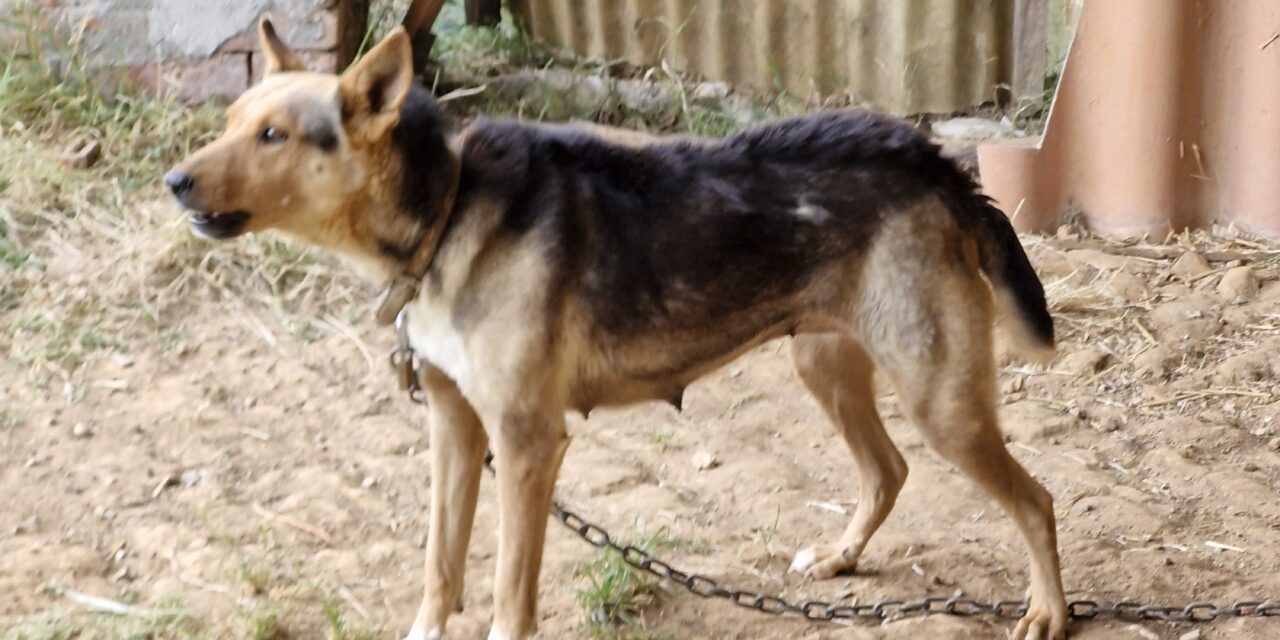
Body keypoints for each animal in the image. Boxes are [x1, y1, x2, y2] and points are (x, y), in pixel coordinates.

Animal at [167, 18, 1070, 640]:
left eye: (274, 136)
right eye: (232, 119)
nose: (174, 181)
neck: (448, 210)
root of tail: (935, 161)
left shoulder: (527, 443)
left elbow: (507, 594)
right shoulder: (454, 428)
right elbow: (439, 568)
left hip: (939, 401)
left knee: (1035, 500)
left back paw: (1048, 612)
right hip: (828, 366)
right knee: (887, 471)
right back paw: (841, 556)